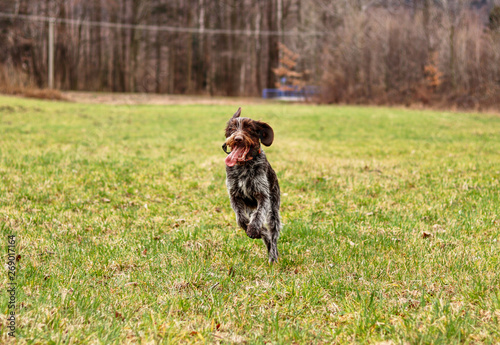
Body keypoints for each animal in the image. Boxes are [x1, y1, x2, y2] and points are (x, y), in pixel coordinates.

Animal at [223, 106, 282, 262]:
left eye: (249, 129)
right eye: (231, 128)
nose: (238, 138)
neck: (244, 165)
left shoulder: (263, 195)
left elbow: (258, 214)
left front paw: (254, 229)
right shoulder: (234, 196)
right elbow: (241, 219)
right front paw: (258, 231)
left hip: (274, 211)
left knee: (273, 236)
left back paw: (273, 257)